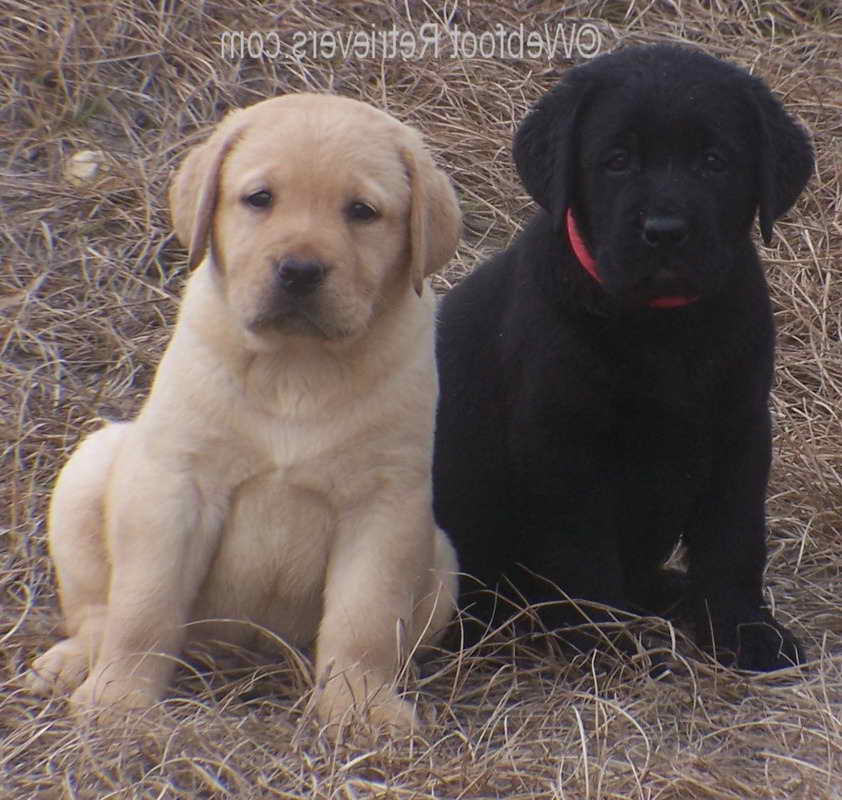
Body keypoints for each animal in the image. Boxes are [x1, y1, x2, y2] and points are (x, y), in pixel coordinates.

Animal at [27, 92, 460, 732]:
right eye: (260, 198)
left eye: (362, 212)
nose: (300, 271)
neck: (296, 367)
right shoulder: (175, 484)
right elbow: (145, 606)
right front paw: (120, 700)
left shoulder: (384, 505)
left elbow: (365, 620)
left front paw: (361, 706)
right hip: (92, 467)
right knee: (96, 612)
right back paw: (74, 663)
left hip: (442, 559)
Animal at [430, 42, 812, 668]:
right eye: (616, 160)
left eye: (714, 161)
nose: (665, 231)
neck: (664, 325)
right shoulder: (564, 448)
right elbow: (584, 557)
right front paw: (608, 647)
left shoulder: (742, 427)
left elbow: (734, 538)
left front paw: (744, 630)